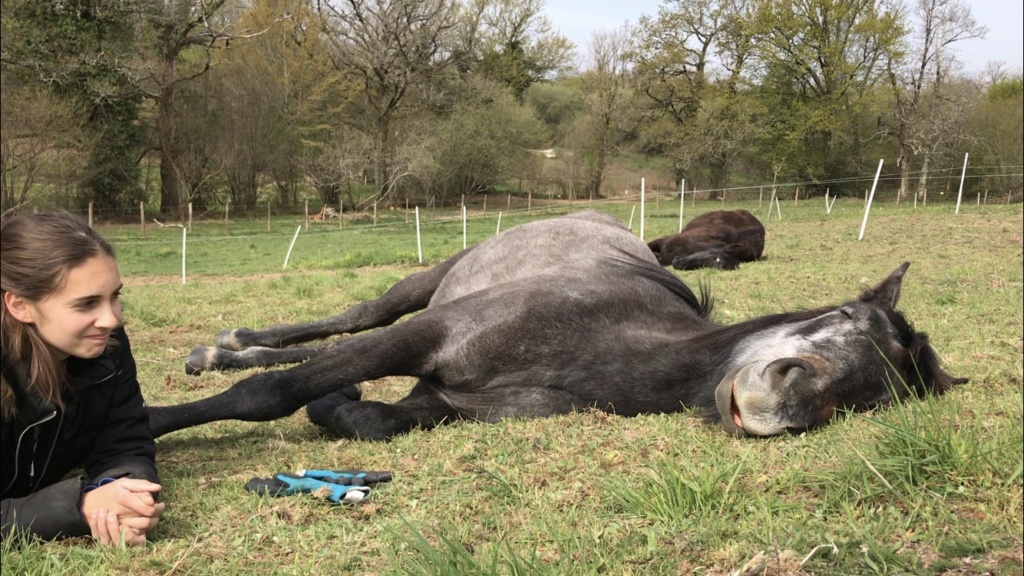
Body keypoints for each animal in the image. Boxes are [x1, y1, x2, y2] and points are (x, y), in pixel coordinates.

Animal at [148, 211, 962, 438]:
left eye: (870, 398)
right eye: (847, 316)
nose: (784, 399)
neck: (603, 343)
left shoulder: (441, 402)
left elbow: (365, 416)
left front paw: (342, 405)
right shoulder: (425, 336)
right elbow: (270, 396)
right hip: (421, 289)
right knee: (351, 320)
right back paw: (227, 350)